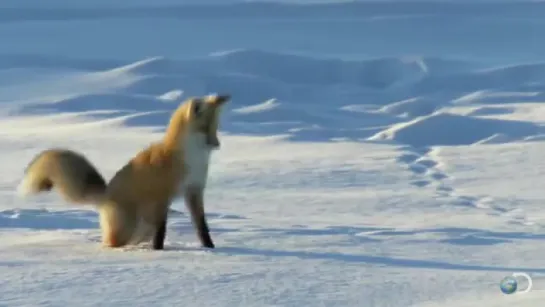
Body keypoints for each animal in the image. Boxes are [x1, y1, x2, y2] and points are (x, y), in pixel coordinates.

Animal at [18, 94, 228, 250]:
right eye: (204, 130)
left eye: (215, 129)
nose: (218, 145)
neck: (191, 159)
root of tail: (104, 196)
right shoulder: (162, 197)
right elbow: (162, 232)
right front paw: (159, 251)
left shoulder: (194, 191)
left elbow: (202, 227)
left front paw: (210, 248)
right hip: (131, 225)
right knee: (110, 243)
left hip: (144, 227)